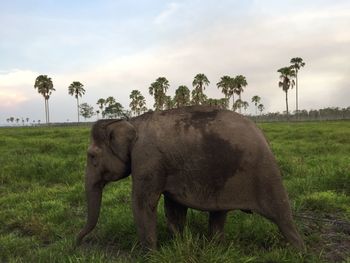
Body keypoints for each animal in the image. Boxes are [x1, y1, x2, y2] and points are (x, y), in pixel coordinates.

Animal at [76, 105, 304, 252]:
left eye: (92, 156)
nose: (76, 244)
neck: (131, 122)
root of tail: (263, 135)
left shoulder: (147, 158)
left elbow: (143, 203)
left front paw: (150, 255)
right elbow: (173, 206)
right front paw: (178, 243)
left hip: (265, 174)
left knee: (281, 215)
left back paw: (299, 251)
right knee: (219, 213)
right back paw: (216, 247)